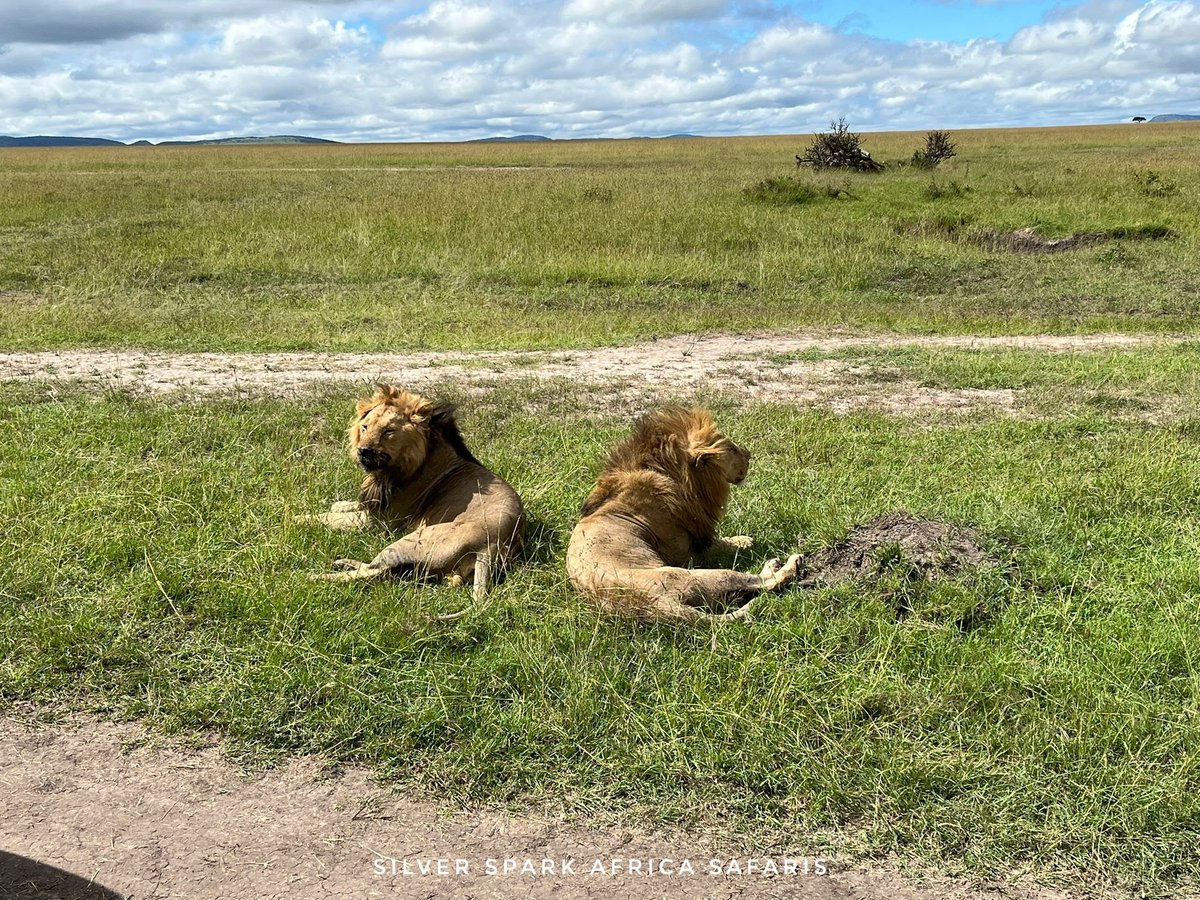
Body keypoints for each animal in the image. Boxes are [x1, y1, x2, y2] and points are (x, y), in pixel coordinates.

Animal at [307, 381, 523, 614]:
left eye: (388, 431)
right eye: (364, 427)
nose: (363, 451)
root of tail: (491, 546)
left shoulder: (380, 522)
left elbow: (325, 518)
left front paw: (297, 519)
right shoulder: (374, 504)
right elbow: (345, 507)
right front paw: (339, 504)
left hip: (411, 540)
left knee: (373, 571)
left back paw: (316, 576)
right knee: (380, 570)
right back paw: (342, 563)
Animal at [564, 412, 806, 624]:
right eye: (730, 448)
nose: (748, 454)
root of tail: (646, 603)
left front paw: (741, 539)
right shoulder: (687, 551)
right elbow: (719, 545)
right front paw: (744, 543)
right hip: (694, 575)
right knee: (761, 582)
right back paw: (784, 565)